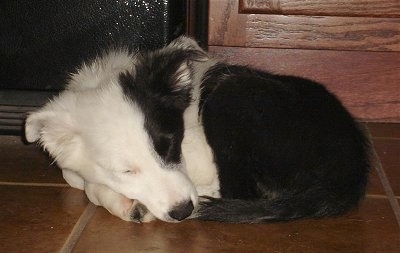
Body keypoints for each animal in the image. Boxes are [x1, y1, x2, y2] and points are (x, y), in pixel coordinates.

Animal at [25, 36, 370, 223]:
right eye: (126, 171)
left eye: (169, 144)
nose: (183, 211)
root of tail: (351, 172)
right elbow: (75, 177)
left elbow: (88, 185)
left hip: (231, 94)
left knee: (241, 192)